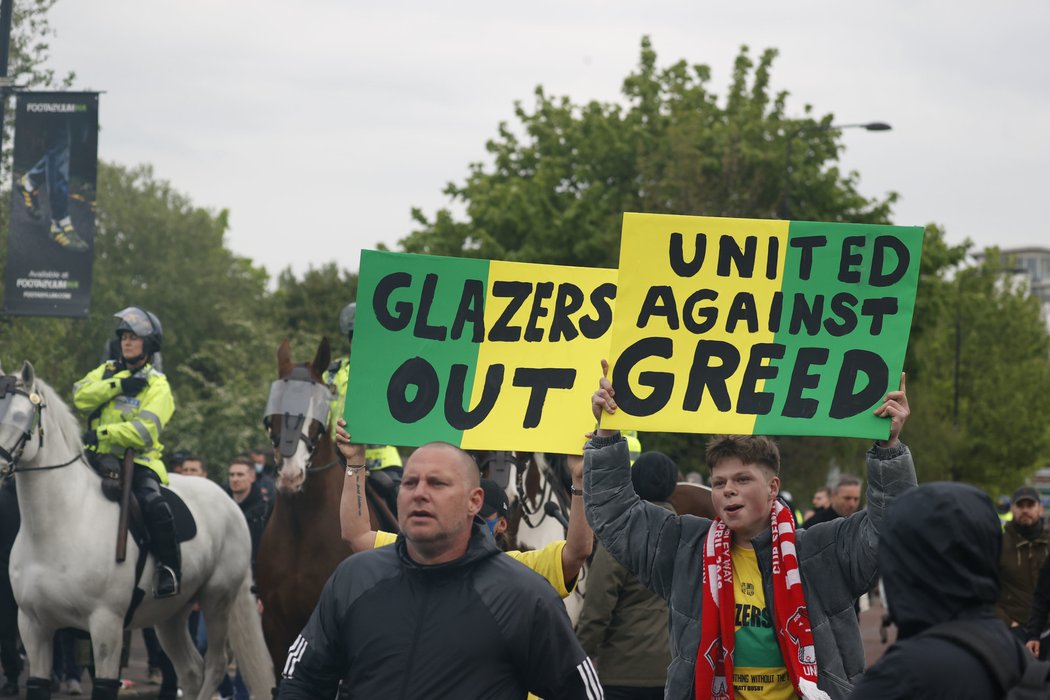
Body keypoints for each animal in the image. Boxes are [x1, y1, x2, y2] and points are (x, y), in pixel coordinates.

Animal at [0, 361, 275, 700]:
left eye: (20, 416)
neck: (57, 527)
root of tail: (229, 501)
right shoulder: (34, 626)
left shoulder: (106, 625)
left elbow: (105, 686)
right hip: (170, 615)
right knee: (191, 671)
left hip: (217, 600)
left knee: (215, 665)